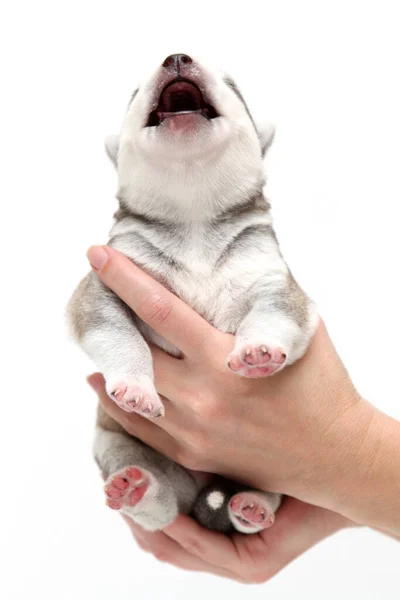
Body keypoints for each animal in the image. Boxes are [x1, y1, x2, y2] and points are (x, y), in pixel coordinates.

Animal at [69, 54, 318, 536]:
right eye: (133, 93)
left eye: (233, 85)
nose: (177, 57)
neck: (194, 222)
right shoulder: (99, 289)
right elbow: (120, 337)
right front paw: (136, 386)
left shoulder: (278, 285)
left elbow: (275, 315)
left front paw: (259, 350)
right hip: (115, 442)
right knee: (162, 507)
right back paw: (138, 489)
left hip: (274, 469)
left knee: (267, 493)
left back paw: (251, 507)